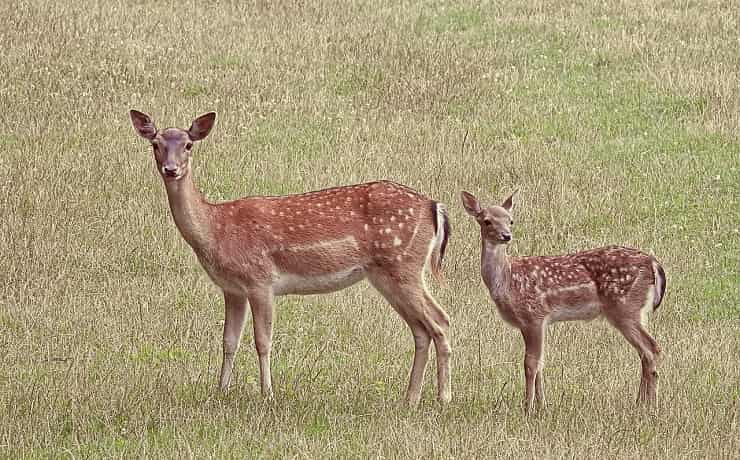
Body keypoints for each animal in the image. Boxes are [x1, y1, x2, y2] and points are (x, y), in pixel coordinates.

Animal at [131, 109, 454, 404]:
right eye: (156, 144)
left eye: (188, 145)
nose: (171, 169)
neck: (216, 229)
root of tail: (434, 206)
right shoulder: (232, 288)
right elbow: (228, 340)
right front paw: (220, 391)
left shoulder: (260, 279)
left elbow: (263, 341)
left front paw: (268, 395)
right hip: (387, 274)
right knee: (421, 329)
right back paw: (410, 398)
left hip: (404, 264)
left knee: (440, 320)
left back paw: (444, 397)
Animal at [462, 189, 664, 412]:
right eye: (487, 221)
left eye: (511, 220)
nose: (506, 235)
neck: (507, 280)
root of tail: (653, 263)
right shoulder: (530, 323)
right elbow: (540, 363)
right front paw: (542, 405)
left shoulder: (534, 315)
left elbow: (530, 364)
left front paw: (527, 408)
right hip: (633, 311)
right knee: (644, 353)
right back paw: (640, 403)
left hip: (625, 307)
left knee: (652, 349)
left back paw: (651, 406)